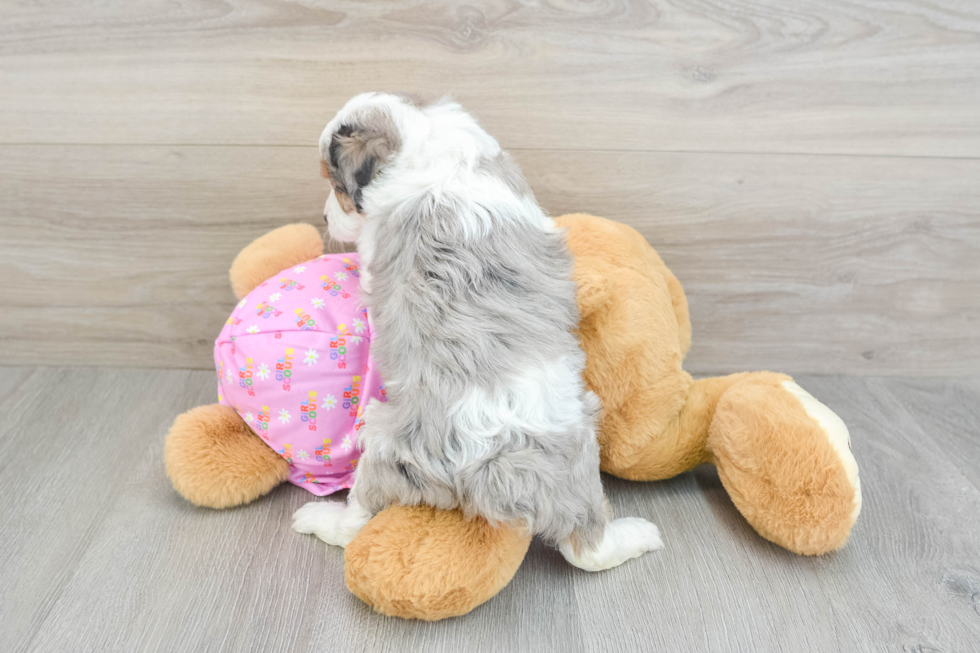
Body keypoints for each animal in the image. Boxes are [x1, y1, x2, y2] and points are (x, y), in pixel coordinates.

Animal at [290, 93, 660, 572]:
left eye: (336, 187)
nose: (324, 215)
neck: (419, 137)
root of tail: (485, 464)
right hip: (575, 446)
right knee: (587, 548)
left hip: (383, 440)